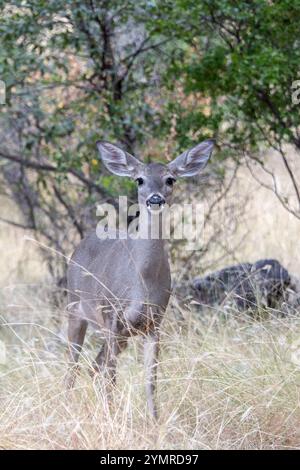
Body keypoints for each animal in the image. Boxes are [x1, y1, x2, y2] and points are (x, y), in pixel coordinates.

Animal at [67, 138, 214, 416]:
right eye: (139, 180)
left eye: (170, 179)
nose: (155, 199)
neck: (141, 283)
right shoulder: (112, 315)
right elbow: (111, 376)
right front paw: (113, 417)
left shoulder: (155, 322)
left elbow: (151, 381)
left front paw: (154, 421)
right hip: (75, 308)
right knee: (74, 367)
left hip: (120, 334)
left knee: (94, 366)